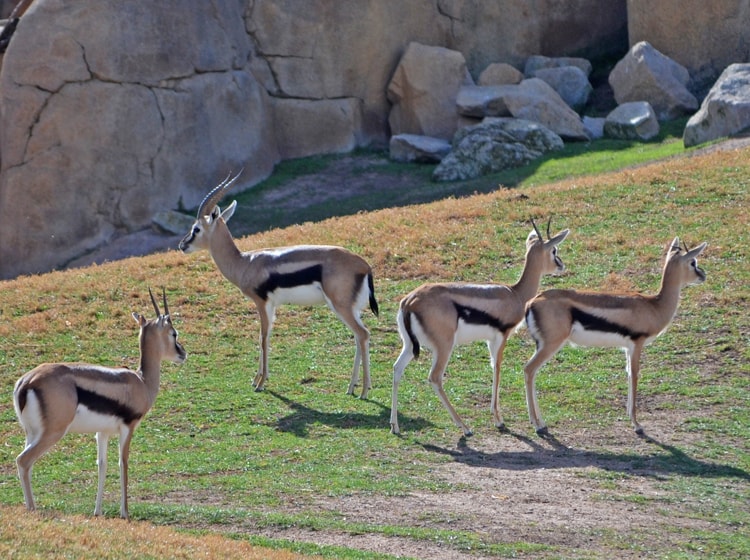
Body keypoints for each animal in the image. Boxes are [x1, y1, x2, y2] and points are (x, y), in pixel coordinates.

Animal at [13, 288, 186, 519]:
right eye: (173, 333)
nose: (182, 353)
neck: (142, 382)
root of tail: (27, 381)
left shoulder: (102, 432)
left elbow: (102, 465)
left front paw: (98, 511)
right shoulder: (128, 428)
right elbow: (123, 462)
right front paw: (125, 513)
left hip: (32, 433)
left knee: (27, 464)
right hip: (52, 433)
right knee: (23, 461)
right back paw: (32, 509)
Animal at [178, 172, 379, 397]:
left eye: (196, 228)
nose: (182, 245)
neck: (245, 263)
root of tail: (364, 266)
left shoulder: (262, 302)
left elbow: (263, 337)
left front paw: (261, 382)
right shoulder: (271, 305)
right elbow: (264, 336)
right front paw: (256, 379)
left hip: (341, 306)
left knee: (363, 334)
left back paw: (363, 391)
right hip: (351, 309)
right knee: (358, 336)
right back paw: (351, 387)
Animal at [390, 220, 570, 436]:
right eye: (554, 250)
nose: (561, 265)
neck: (515, 294)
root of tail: (409, 301)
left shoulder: (489, 339)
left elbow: (493, 367)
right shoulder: (502, 336)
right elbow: (498, 368)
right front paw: (501, 421)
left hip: (409, 345)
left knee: (397, 369)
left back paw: (395, 426)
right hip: (444, 347)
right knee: (435, 377)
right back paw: (465, 427)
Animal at [523, 237, 707, 436]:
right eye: (693, 262)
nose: (703, 275)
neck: (654, 306)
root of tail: (532, 302)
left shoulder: (627, 347)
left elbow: (628, 374)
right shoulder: (637, 344)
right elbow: (635, 375)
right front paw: (637, 424)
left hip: (542, 345)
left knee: (532, 372)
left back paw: (541, 423)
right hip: (551, 344)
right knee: (529, 370)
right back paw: (538, 425)